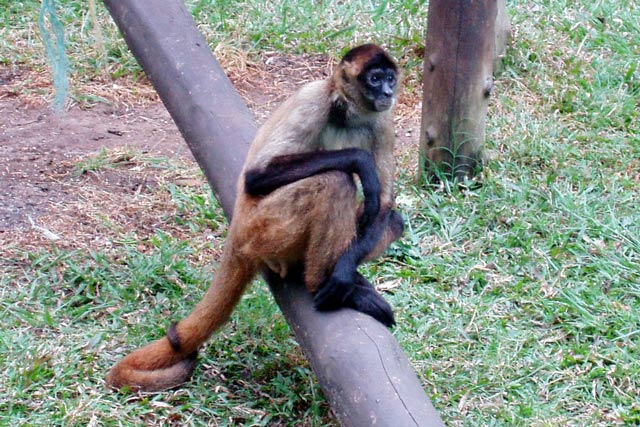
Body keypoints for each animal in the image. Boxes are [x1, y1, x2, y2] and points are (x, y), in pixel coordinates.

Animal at [106, 44, 404, 392]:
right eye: (374, 79)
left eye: (390, 78)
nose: (388, 91)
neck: (348, 114)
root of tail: (238, 227)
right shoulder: (313, 98)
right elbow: (257, 177)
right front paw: (360, 163)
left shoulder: (382, 121)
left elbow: (383, 205)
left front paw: (344, 274)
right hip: (264, 227)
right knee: (335, 181)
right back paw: (319, 282)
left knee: (390, 217)